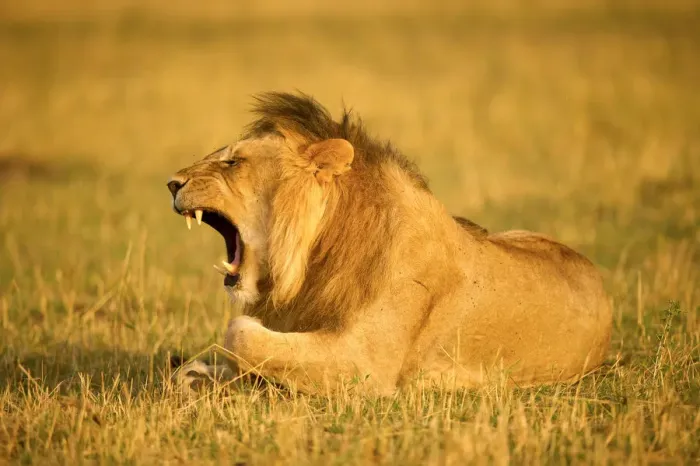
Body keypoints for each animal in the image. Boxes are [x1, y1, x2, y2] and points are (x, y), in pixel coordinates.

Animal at [166, 92, 613, 395]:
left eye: (232, 162)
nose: (172, 183)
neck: (318, 255)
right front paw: (200, 374)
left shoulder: (366, 365)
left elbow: (240, 333)